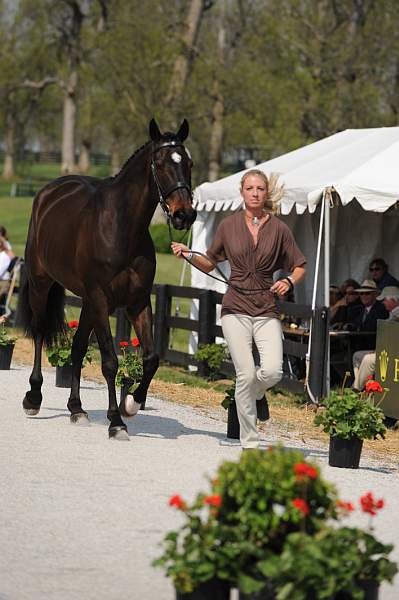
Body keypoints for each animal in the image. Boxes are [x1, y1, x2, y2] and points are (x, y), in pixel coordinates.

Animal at [19, 119, 196, 438]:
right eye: (161, 163)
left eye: (188, 163)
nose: (183, 215)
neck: (122, 228)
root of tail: (48, 193)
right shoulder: (102, 300)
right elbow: (110, 363)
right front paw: (116, 421)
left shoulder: (137, 302)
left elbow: (151, 358)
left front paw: (132, 404)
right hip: (42, 284)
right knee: (39, 332)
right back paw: (33, 398)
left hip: (88, 303)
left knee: (77, 348)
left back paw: (77, 409)